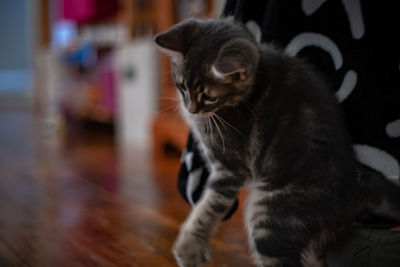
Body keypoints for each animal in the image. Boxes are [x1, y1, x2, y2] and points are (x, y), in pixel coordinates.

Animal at [154, 18, 400, 267]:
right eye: (182, 87)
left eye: (210, 97)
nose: (191, 109)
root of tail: (355, 183)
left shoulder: (230, 165)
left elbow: (209, 205)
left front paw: (190, 247)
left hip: (272, 217)